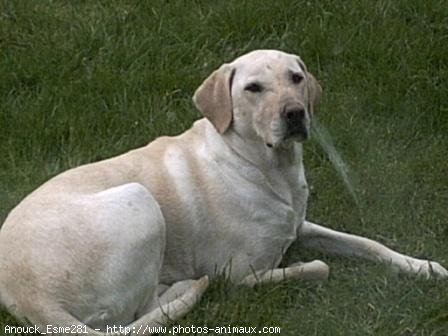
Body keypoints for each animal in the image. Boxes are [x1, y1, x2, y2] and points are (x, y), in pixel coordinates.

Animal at [0, 50, 448, 334]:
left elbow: (368, 243)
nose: (295, 113)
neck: (266, 167)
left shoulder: (300, 226)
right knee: (139, 314)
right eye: (253, 88)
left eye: (296, 78)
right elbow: (318, 267)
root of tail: (29, 297)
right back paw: (185, 288)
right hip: (140, 200)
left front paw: (423, 266)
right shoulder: (239, 273)